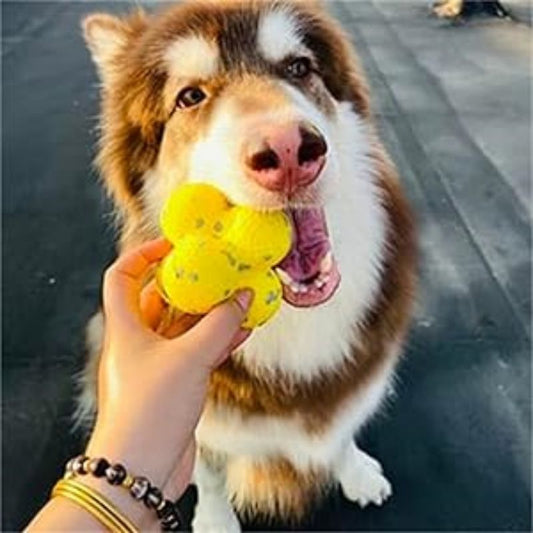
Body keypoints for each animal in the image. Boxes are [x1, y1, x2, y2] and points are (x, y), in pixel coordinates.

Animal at [78, 0, 416, 528]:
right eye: (190, 97)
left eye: (298, 67)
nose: (288, 150)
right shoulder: (198, 409)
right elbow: (211, 473)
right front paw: (217, 521)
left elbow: (343, 428)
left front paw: (355, 471)